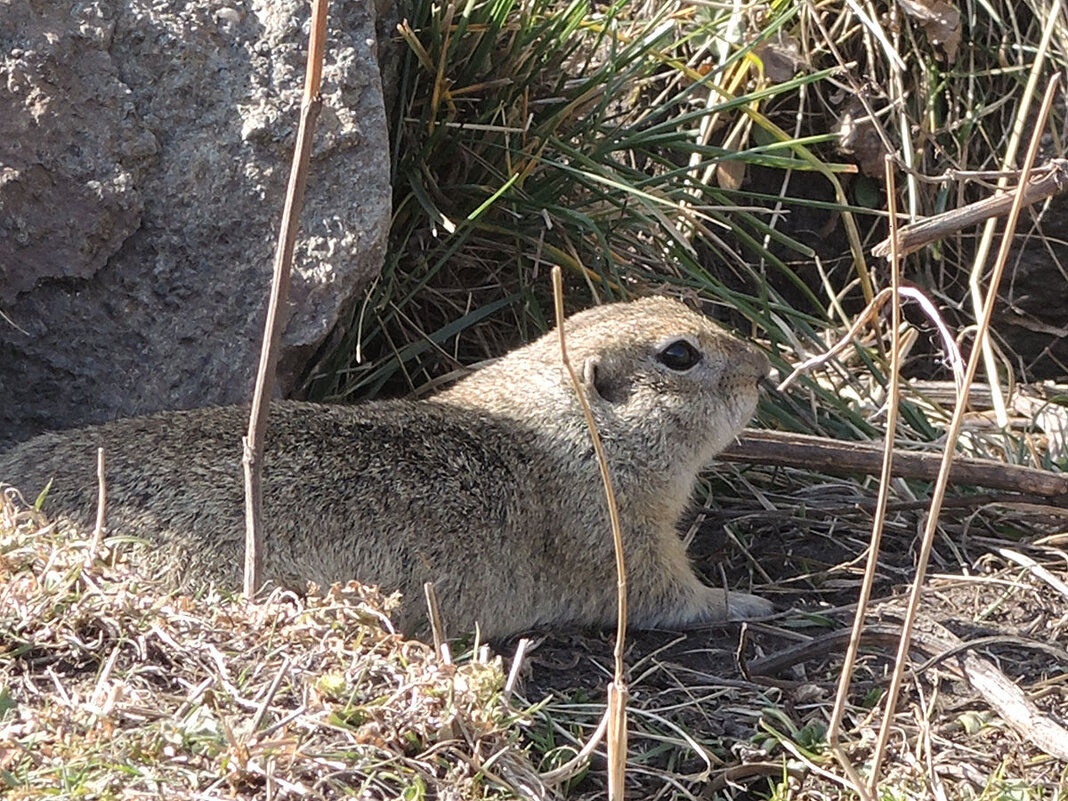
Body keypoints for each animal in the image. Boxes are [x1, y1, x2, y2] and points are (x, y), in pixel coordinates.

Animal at [0, 299, 768, 645]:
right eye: (678, 354)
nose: (762, 366)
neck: (574, 432)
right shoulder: (621, 541)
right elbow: (672, 597)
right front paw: (747, 602)